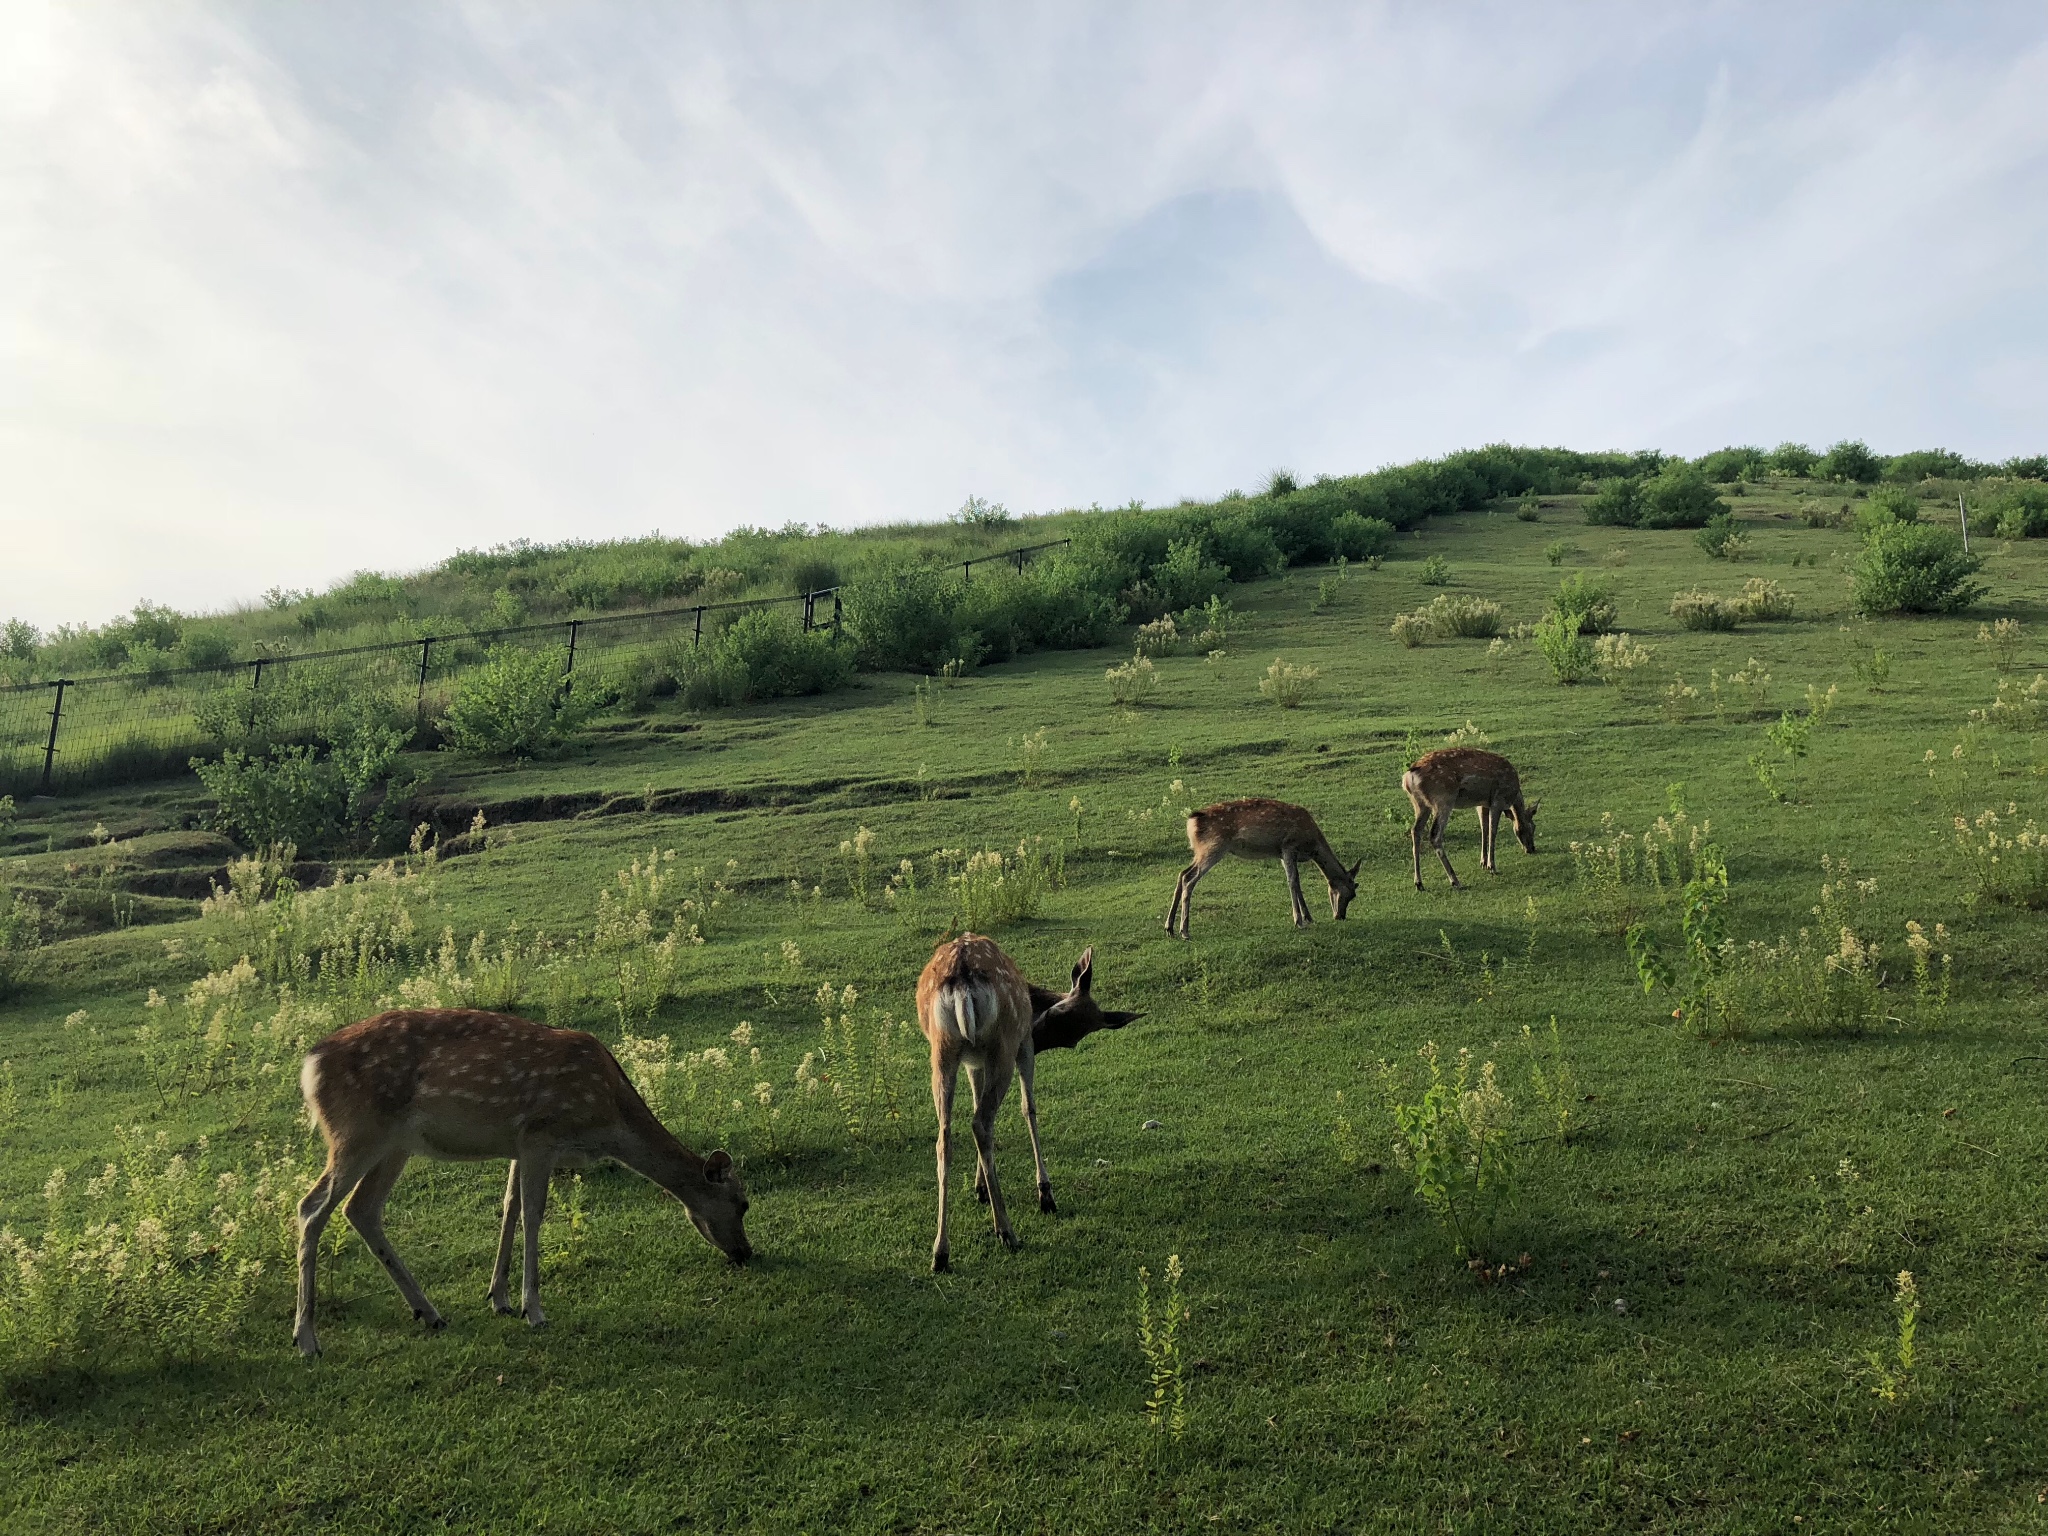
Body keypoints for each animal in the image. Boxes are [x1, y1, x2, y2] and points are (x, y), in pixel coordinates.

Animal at [292, 1011, 749, 1359]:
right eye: (742, 1203)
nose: (746, 1253)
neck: (607, 1119)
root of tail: (310, 1066)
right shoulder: (541, 1134)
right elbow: (533, 1213)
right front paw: (535, 1310)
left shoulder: (518, 1143)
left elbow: (509, 1205)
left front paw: (499, 1298)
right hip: (358, 1132)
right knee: (312, 1207)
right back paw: (306, 1338)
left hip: (394, 1144)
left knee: (361, 1209)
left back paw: (429, 1313)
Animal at [921, 937, 1146, 1277]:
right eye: (1056, 1014)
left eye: (1074, 1038)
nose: (1041, 1041)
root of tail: (962, 978)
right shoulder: (1023, 1044)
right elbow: (1029, 1107)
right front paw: (1045, 1193)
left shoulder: (974, 1060)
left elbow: (975, 1100)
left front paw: (979, 1188)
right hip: (1005, 1044)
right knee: (981, 1122)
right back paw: (1006, 1231)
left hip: (943, 1049)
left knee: (947, 1135)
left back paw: (941, 1252)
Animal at [1171, 798, 1359, 946]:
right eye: (1351, 894)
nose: (1340, 916)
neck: (1312, 845)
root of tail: (1191, 822)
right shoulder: (1288, 846)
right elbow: (1293, 881)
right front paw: (1299, 921)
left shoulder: (1282, 854)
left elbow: (1296, 883)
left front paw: (1309, 917)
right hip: (1214, 847)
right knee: (1189, 878)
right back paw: (1184, 931)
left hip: (1200, 851)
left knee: (1182, 873)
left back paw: (1169, 928)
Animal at [1400, 749, 1540, 888]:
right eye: (1532, 827)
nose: (1531, 848)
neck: (1513, 794)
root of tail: (1408, 777)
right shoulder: (1498, 800)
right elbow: (1492, 831)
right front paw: (1492, 866)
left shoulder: (1482, 803)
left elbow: (1484, 828)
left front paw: (1483, 862)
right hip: (1443, 799)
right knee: (1435, 835)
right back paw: (1455, 880)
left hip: (1420, 804)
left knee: (1415, 830)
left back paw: (1419, 883)